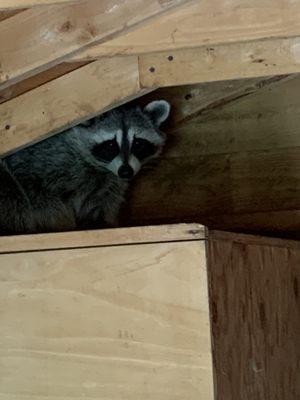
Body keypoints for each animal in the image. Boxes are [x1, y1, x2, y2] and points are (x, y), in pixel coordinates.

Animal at [0, 99, 170, 234]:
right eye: (110, 145)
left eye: (138, 143)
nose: (126, 172)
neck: (101, 167)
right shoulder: (45, 160)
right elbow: (41, 196)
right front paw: (62, 223)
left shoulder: (110, 184)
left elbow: (102, 203)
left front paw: (101, 222)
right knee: (13, 197)